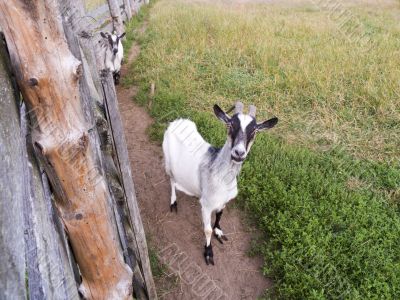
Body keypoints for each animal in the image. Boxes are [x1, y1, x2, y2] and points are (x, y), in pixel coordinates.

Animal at [162, 101, 278, 264]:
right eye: (230, 125)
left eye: (255, 130)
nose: (239, 153)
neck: (222, 176)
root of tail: (177, 121)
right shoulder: (206, 205)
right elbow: (207, 229)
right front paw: (208, 252)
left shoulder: (223, 200)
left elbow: (220, 215)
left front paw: (219, 231)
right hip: (168, 162)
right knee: (172, 180)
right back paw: (173, 203)